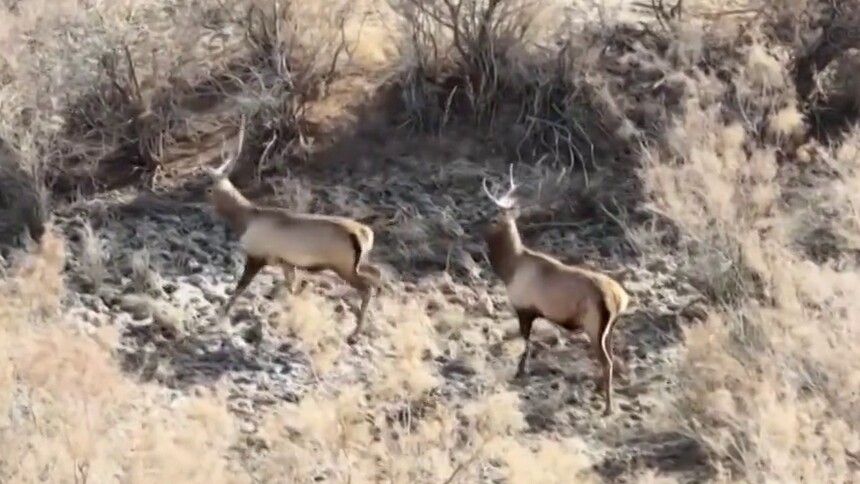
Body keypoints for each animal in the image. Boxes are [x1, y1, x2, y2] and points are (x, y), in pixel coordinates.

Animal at [203, 115, 383, 345]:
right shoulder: (286, 262)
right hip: (356, 263)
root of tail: (365, 233)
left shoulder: (257, 256)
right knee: (376, 273)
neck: (245, 218)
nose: (199, 197)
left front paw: (220, 317)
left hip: (343, 266)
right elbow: (293, 289)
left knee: (367, 287)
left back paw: (355, 333)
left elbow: (239, 288)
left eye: (209, 188)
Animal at [478, 163, 631, 416]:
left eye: (494, 218)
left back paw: (608, 406)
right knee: (612, 357)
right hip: (611, 327)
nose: (474, 227)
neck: (509, 268)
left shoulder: (524, 308)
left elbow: (526, 344)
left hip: (593, 325)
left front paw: (520, 372)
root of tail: (620, 299)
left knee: (607, 361)